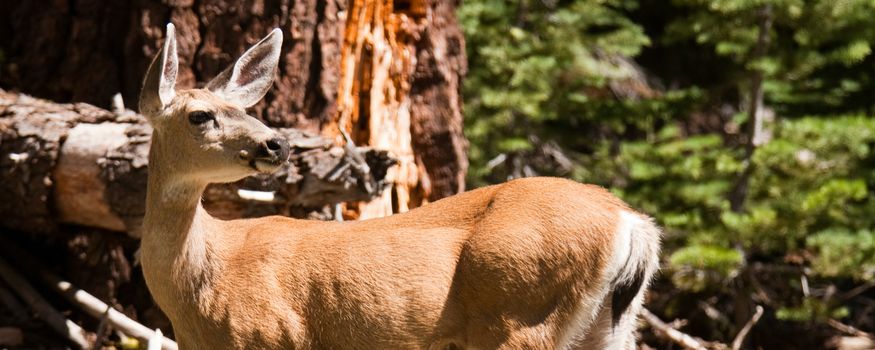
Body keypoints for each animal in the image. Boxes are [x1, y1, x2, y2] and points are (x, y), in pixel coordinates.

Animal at [139, 23, 656, 348]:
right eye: (200, 115)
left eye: (244, 110)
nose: (276, 144)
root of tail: (632, 223)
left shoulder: (268, 334)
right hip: (607, 326)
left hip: (522, 315)